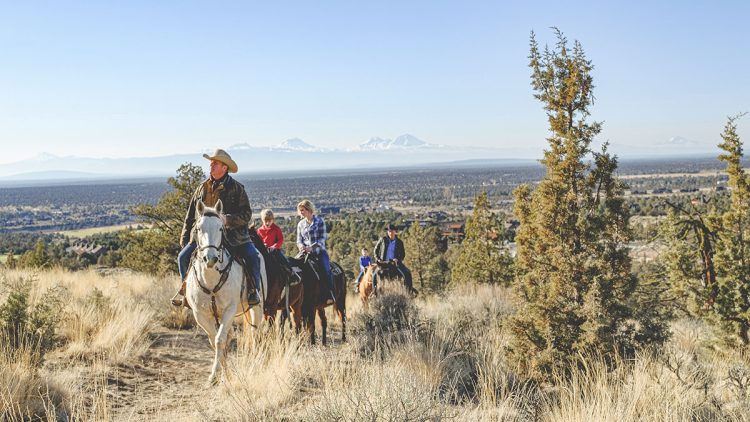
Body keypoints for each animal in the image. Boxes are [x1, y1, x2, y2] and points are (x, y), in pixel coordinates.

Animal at [185, 200, 268, 386]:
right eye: (198, 228)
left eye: (221, 228)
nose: (211, 259)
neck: (210, 279)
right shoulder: (200, 314)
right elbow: (214, 339)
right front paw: (222, 373)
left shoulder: (230, 310)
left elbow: (219, 340)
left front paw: (216, 374)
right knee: (229, 335)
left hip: (256, 306)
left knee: (255, 332)